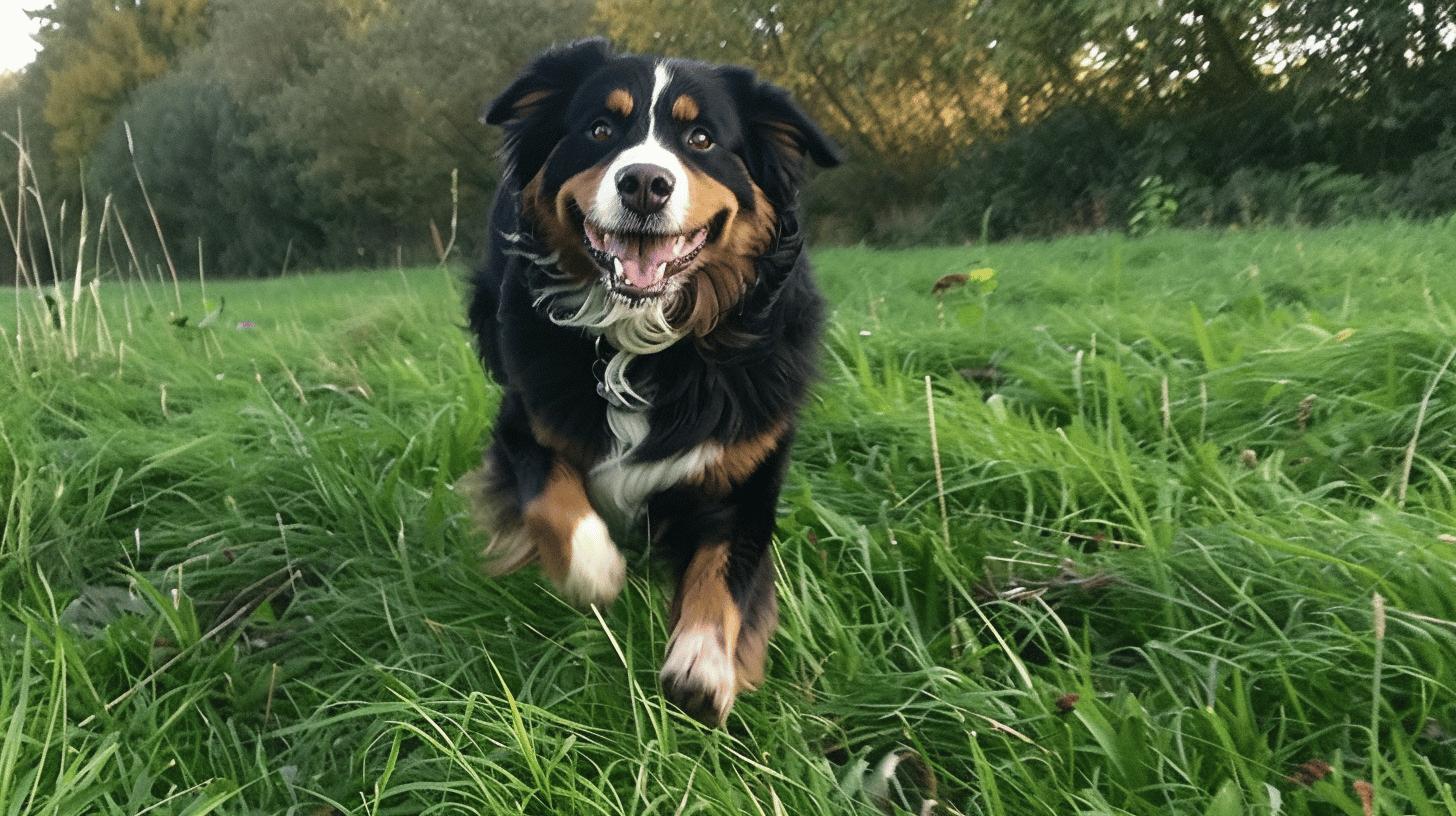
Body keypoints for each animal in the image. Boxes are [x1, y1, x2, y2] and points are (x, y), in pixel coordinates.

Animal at [460, 39, 838, 725]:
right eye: (600, 130)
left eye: (702, 138)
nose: (644, 182)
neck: (641, 339)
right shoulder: (524, 418)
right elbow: (549, 490)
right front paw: (594, 568)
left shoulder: (746, 465)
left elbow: (724, 568)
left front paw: (704, 664)